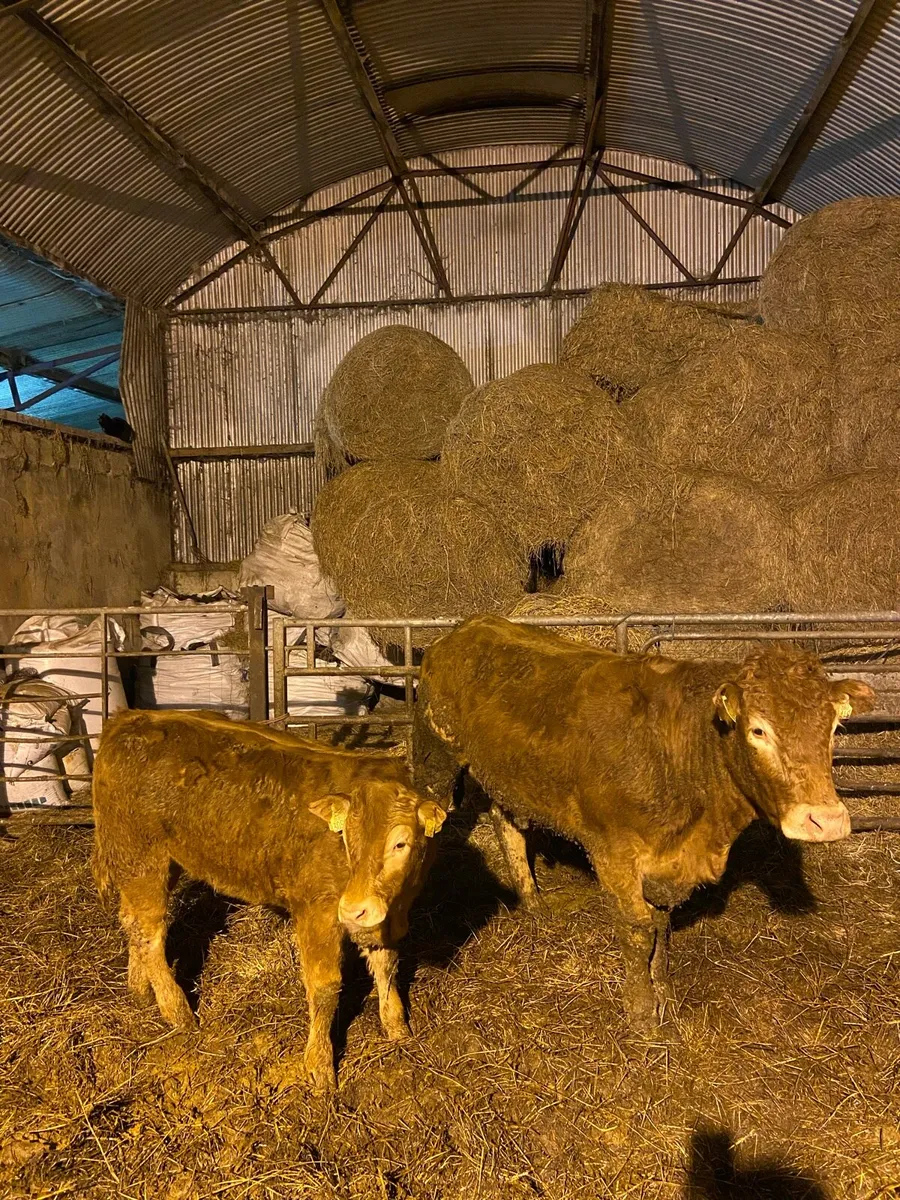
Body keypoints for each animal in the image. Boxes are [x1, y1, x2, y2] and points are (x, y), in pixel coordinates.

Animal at [92, 710, 446, 1089]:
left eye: (400, 843)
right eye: (346, 839)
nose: (354, 909)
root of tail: (131, 718)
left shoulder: (386, 918)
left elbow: (387, 966)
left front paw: (397, 1028)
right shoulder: (317, 913)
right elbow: (325, 987)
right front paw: (319, 1065)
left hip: (152, 863)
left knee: (131, 921)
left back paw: (139, 988)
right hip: (143, 859)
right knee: (150, 933)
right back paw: (178, 1012)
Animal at [413, 616, 875, 1032]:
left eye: (834, 727)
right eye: (758, 730)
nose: (825, 820)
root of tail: (467, 628)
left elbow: (661, 927)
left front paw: (665, 995)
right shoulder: (613, 851)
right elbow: (638, 929)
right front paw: (640, 1012)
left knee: (507, 825)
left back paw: (533, 901)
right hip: (436, 753)